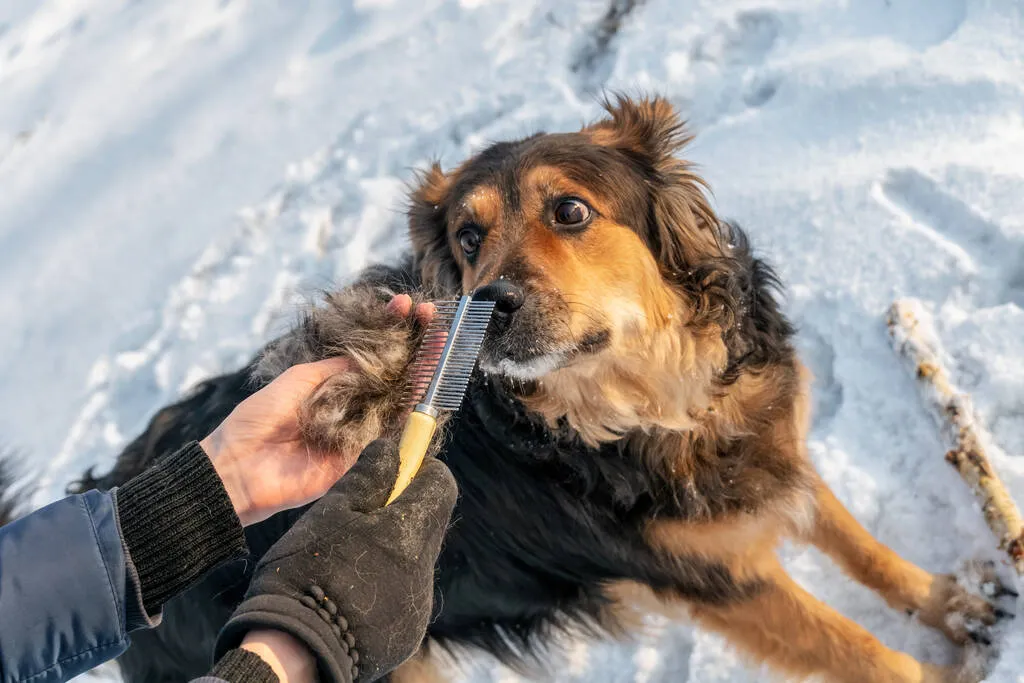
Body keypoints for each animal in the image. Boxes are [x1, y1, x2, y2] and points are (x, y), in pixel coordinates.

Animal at [66, 93, 1007, 679]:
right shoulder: (710, 577)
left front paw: (956, 604)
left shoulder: (764, 457)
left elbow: (861, 547)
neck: (646, 410)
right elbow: (852, 646)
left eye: (571, 211)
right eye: (468, 237)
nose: (488, 304)